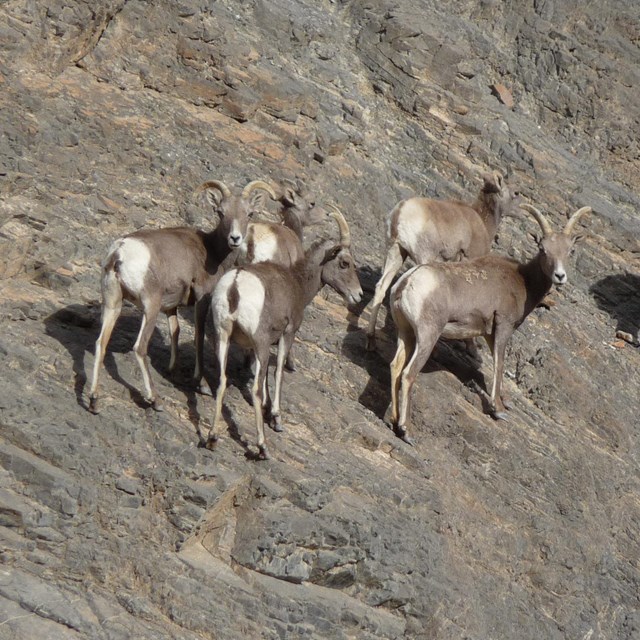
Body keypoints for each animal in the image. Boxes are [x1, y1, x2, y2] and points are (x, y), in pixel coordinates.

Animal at [89, 179, 276, 416]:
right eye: (220, 212)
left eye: (249, 213)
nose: (235, 238)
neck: (211, 251)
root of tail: (119, 253)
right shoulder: (202, 298)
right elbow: (198, 335)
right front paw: (201, 383)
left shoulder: (171, 307)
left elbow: (175, 331)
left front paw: (172, 370)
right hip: (150, 306)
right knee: (140, 347)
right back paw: (155, 400)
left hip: (113, 303)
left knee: (100, 343)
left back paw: (94, 401)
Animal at [206, 208, 362, 458]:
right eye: (345, 263)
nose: (358, 295)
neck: (296, 283)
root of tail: (235, 288)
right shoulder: (286, 335)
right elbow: (277, 372)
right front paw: (276, 418)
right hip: (259, 342)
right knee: (256, 389)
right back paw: (262, 447)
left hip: (223, 337)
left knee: (222, 380)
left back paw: (212, 438)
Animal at [364, 172, 520, 352]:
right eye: (516, 193)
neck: (482, 221)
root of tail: (401, 211)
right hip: (423, 258)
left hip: (396, 252)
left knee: (381, 287)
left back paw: (371, 340)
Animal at [384, 204, 592, 444]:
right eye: (543, 250)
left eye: (570, 251)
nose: (559, 276)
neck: (523, 281)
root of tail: (407, 282)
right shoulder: (503, 326)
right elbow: (499, 364)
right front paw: (498, 409)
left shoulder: (488, 333)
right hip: (428, 336)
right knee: (409, 374)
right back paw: (407, 430)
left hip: (406, 334)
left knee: (395, 366)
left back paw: (392, 419)